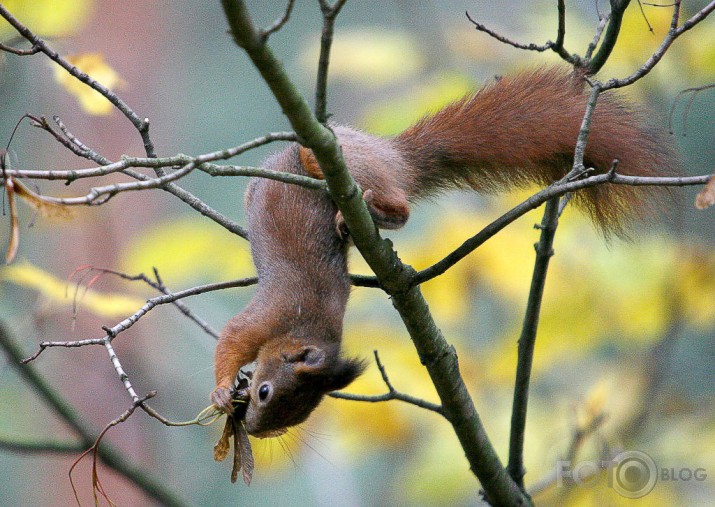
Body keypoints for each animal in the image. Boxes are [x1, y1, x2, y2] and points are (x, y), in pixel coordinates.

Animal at [208, 67, 676, 438]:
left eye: (289, 407)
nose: (255, 430)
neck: (306, 327)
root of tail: (396, 157)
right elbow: (233, 340)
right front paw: (223, 391)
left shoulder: (269, 317)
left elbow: (231, 336)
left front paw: (220, 390)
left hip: (361, 167)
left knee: (398, 205)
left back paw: (365, 204)